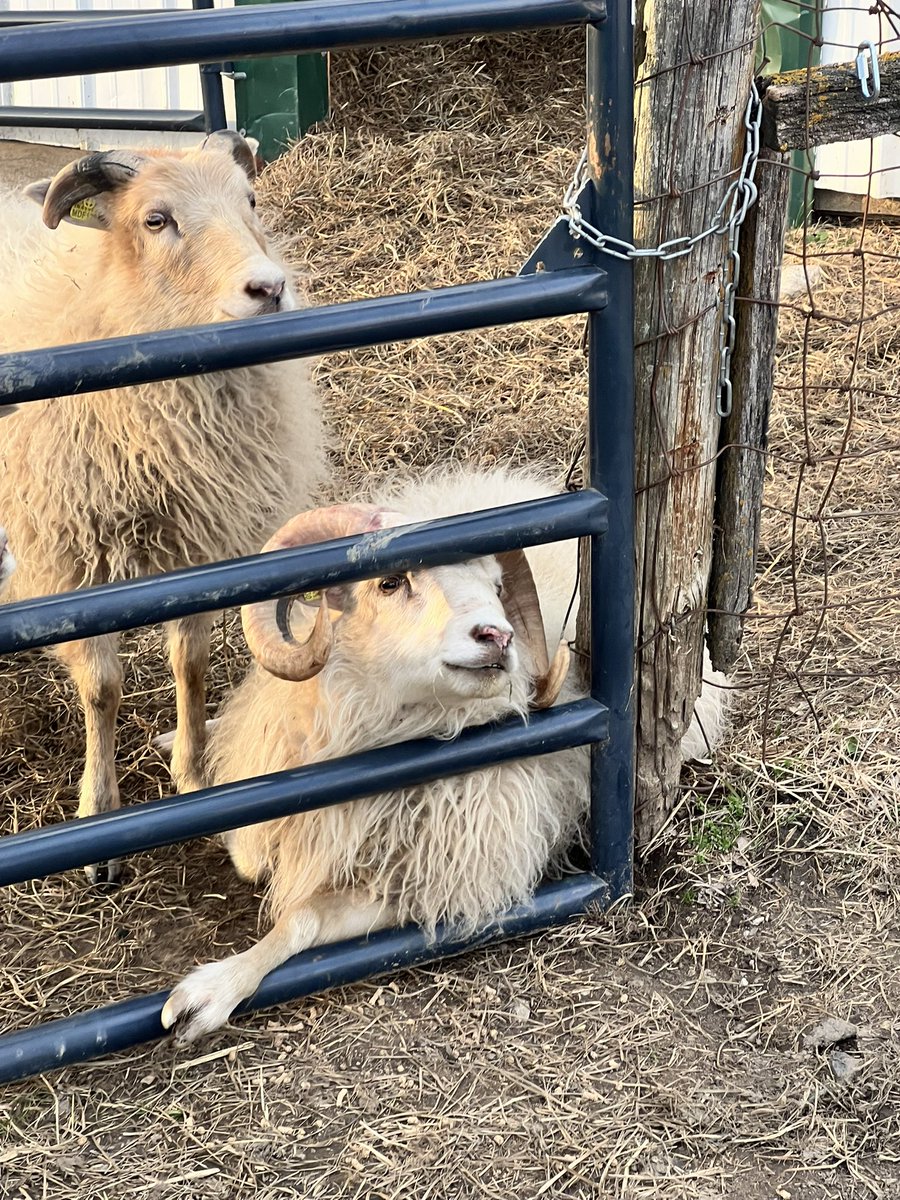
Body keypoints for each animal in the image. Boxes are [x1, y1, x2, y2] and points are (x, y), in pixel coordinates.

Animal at [0, 130, 326, 883]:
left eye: (250, 200)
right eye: (156, 219)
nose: (269, 288)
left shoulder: (204, 549)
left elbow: (191, 664)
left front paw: (195, 775)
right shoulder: (72, 560)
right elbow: (102, 689)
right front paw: (100, 816)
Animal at [160, 465, 728, 1042]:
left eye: (498, 587)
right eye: (389, 582)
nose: (498, 635)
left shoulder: (429, 883)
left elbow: (303, 919)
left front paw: (213, 990)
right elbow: (251, 853)